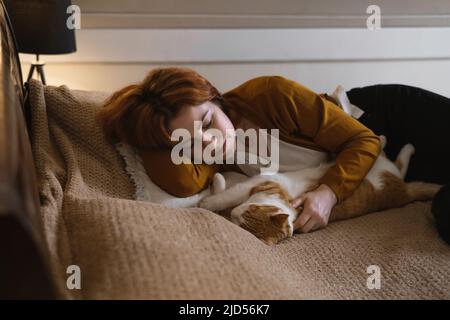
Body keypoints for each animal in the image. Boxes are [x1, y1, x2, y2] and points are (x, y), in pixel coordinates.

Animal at [200, 137, 440, 245]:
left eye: (244, 221)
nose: (234, 214)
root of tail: (404, 193)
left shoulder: (255, 184)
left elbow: (225, 196)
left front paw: (208, 200)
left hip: (384, 170)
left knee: (395, 161)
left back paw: (395, 144)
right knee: (397, 164)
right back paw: (386, 141)